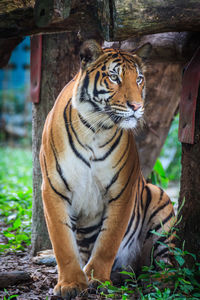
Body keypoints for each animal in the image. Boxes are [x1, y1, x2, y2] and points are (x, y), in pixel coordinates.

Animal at [40, 39, 175, 298]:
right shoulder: (54, 187)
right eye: (114, 77)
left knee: (171, 262)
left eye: (139, 79)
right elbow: (62, 242)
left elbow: (108, 240)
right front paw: (71, 283)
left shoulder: (123, 188)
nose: (137, 106)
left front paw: (97, 279)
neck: (94, 128)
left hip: (159, 201)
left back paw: (159, 281)